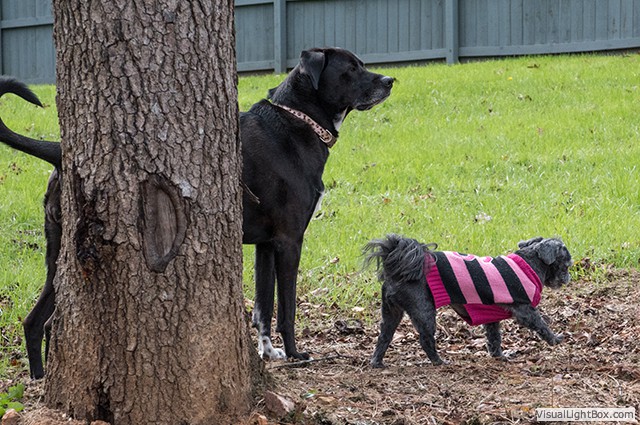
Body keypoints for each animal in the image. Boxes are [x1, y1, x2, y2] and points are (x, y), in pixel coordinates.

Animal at [0, 47, 393, 377]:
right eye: (351, 68)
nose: (390, 81)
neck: (296, 122)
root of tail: (61, 152)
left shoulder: (265, 246)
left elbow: (263, 306)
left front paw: (268, 352)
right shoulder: (289, 240)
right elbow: (286, 308)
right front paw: (297, 354)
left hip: (62, 252)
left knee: (37, 322)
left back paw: (40, 379)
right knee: (47, 323)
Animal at [364, 234, 572, 367]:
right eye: (567, 264)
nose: (568, 278)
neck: (528, 264)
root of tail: (398, 267)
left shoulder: (491, 318)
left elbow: (494, 338)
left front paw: (498, 356)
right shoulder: (524, 309)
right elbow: (541, 324)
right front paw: (554, 339)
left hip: (391, 312)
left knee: (384, 337)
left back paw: (377, 362)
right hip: (423, 310)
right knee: (425, 339)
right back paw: (439, 362)